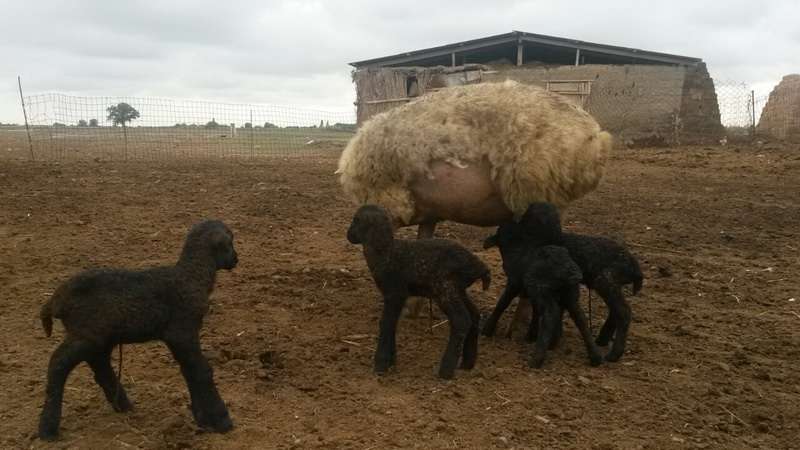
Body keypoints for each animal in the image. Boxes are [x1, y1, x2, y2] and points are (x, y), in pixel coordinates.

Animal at [37, 220, 238, 442]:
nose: (235, 260)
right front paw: (219, 420)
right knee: (58, 363)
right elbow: (200, 370)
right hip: (85, 333)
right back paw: (47, 428)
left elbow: (191, 370)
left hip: (98, 337)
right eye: (231, 242)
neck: (192, 277)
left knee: (99, 365)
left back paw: (122, 405)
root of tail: (55, 301)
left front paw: (204, 418)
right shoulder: (181, 331)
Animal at [346, 205, 490, 380]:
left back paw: (446, 369)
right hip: (458, 289)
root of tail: (478, 265)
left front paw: (380, 364)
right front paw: (391, 361)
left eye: (356, 220)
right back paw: (467, 363)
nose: (348, 235)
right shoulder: (400, 296)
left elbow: (385, 323)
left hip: (444, 288)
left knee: (461, 320)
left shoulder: (394, 293)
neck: (386, 252)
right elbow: (392, 324)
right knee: (474, 314)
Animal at [482, 203, 644, 362]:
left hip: (606, 281)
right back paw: (601, 340)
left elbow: (505, 302)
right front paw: (548, 337)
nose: (514, 218)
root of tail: (635, 267)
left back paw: (614, 353)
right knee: (614, 310)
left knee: (623, 311)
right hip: (611, 285)